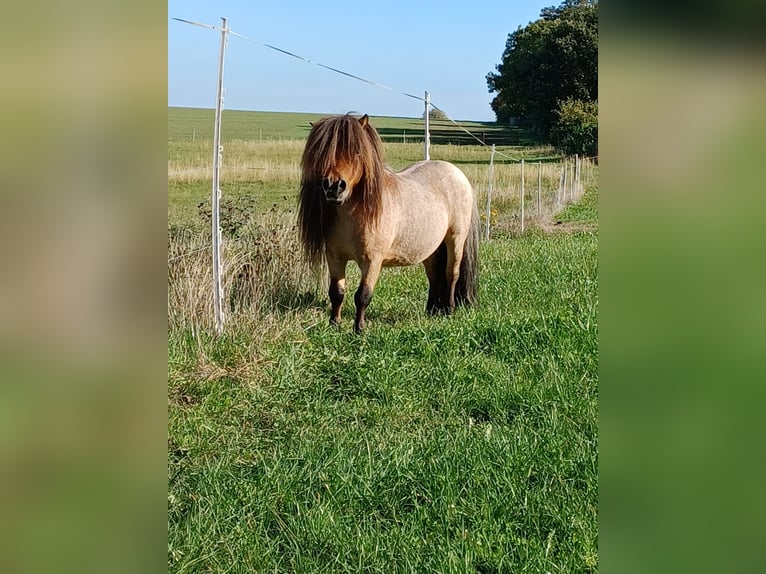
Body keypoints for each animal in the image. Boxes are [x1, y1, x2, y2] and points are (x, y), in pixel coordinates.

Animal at [300, 113, 480, 332]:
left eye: (357, 152)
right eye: (322, 153)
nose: (334, 187)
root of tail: (458, 173)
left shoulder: (372, 261)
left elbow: (363, 295)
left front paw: (359, 329)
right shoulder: (334, 257)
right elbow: (336, 292)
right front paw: (334, 324)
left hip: (455, 239)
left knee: (451, 274)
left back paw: (450, 310)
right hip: (430, 248)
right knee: (434, 276)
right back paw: (431, 311)